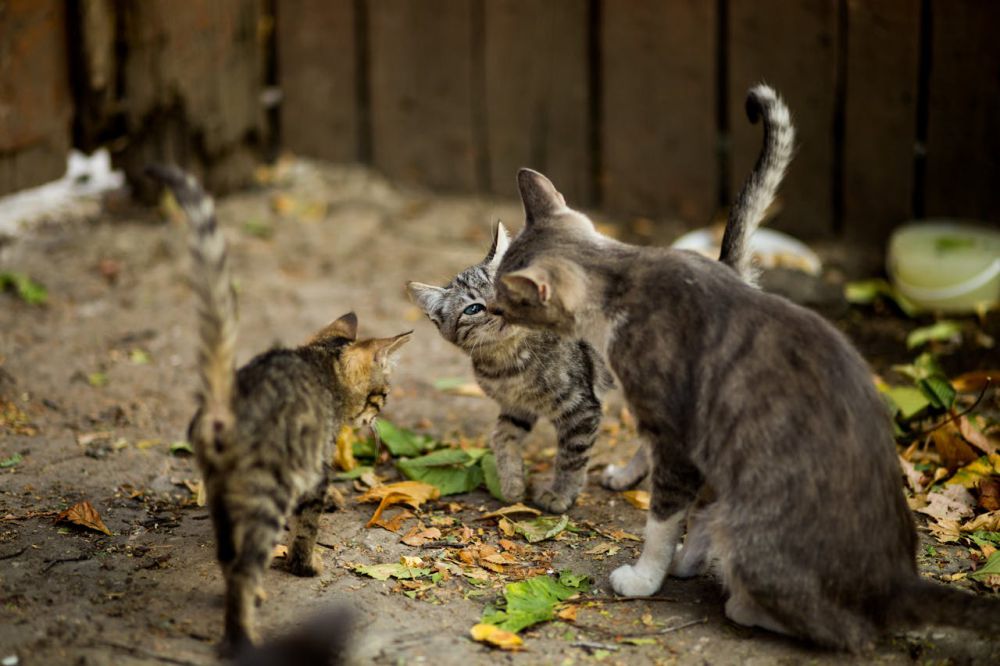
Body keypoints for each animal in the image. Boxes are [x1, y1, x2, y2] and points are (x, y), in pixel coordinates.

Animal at [149, 166, 414, 652]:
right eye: (382, 395)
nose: (378, 417)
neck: (320, 365)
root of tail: (226, 404)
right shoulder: (314, 472)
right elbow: (307, 528)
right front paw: (305, 566)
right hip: (266, 492)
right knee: (242, 566)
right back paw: (243, 637)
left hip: (220, 493)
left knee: (228, 556)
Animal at [402, 83, 792, 508]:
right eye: (473, 308)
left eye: (507, 289)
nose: (500, 310)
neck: (507, 362)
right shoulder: (515, 408)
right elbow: (501, 436)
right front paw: (511, 483)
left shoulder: (580, 407)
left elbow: (571, 457)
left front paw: (559, 496)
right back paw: (628, 476)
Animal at [490, 85, 1000, 652]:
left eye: (502, 299)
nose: (487, 309)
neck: (624, 275)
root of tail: (898, 581)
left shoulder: (680, 435)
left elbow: (662, 519)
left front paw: (645, 577)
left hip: (753, 520)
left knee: (847, 630)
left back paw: (734, 594)